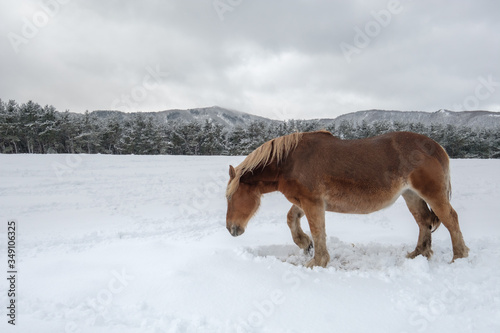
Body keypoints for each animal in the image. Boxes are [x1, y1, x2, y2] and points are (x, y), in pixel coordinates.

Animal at [226, 130, 468, 268]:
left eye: (230, 196)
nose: (231, 229)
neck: (289, 162)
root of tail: (436, 147)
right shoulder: (306, 201)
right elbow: (292, 218)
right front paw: (304, 244)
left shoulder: (313, 202)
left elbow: (318, 230)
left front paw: (317, 261)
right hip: (411, 195)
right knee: (423, 221)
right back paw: (418, 254)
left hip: (432, 194)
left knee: (451, 219)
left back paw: (458, 257)